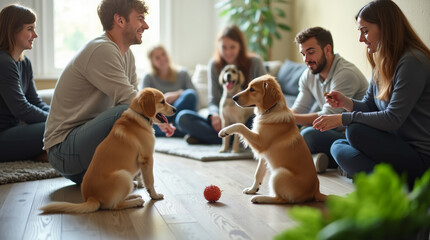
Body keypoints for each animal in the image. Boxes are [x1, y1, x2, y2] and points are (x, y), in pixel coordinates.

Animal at [39, 88, 176, 214]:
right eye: (162, 101)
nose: (175, 109)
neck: (139, 117)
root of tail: (91, 198)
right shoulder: (147, 159)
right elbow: (150, 181)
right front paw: (155, 196)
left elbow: (143, 177)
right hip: (124, 175)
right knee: (115, 205)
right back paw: (136, 201)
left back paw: (133, 195)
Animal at [218, 75, 326, 204]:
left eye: (252, 89)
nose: (234, 98)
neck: (270, 111)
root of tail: (315, 191)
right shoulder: (264, 156)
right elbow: (258, 174)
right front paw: (252, 189)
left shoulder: (260, 143)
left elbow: (240, 125)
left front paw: (225, 130)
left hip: (279, 173)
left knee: (281, 199)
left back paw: (260, 198)